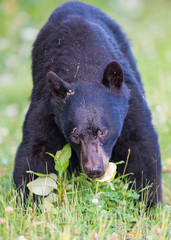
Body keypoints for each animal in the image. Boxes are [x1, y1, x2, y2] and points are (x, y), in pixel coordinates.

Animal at [13, 0, 162, 205]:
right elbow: (35, 152)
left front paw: (148, 202)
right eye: (75, 136)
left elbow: (140, 146)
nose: (95, 170)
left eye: (103, 131)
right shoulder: (47, 108)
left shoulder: (130, 103)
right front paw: (29, 202)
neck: (83, 68)